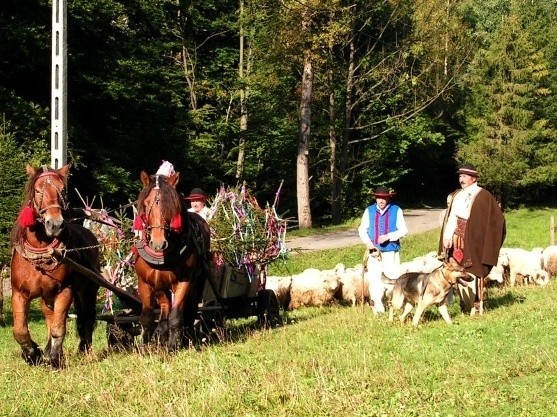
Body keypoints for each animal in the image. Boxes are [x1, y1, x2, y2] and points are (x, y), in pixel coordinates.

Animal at [10, 164, 99, 366]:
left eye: (63, 190)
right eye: (38, 190)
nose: (55, 224)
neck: (41, 251)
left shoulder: (65, 291)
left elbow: (59, 327)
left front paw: (55, 359)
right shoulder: (19, 293)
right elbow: (20, 330)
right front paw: (33, 353)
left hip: (87, 290)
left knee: (87, 317)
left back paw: (85, 349)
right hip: (48, 296)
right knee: (50, 316)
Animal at [135, 169, 211, 352]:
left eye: (171, 205)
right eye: (145, 205)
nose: (158, 242)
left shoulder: (185, 281)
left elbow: (176, 314)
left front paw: (173, 345)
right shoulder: (145, 282)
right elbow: (147, 316)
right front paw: (144, 346)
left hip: (198, 281)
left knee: (189, 309)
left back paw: (188, 336)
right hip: (161, 285)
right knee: (165, 308)